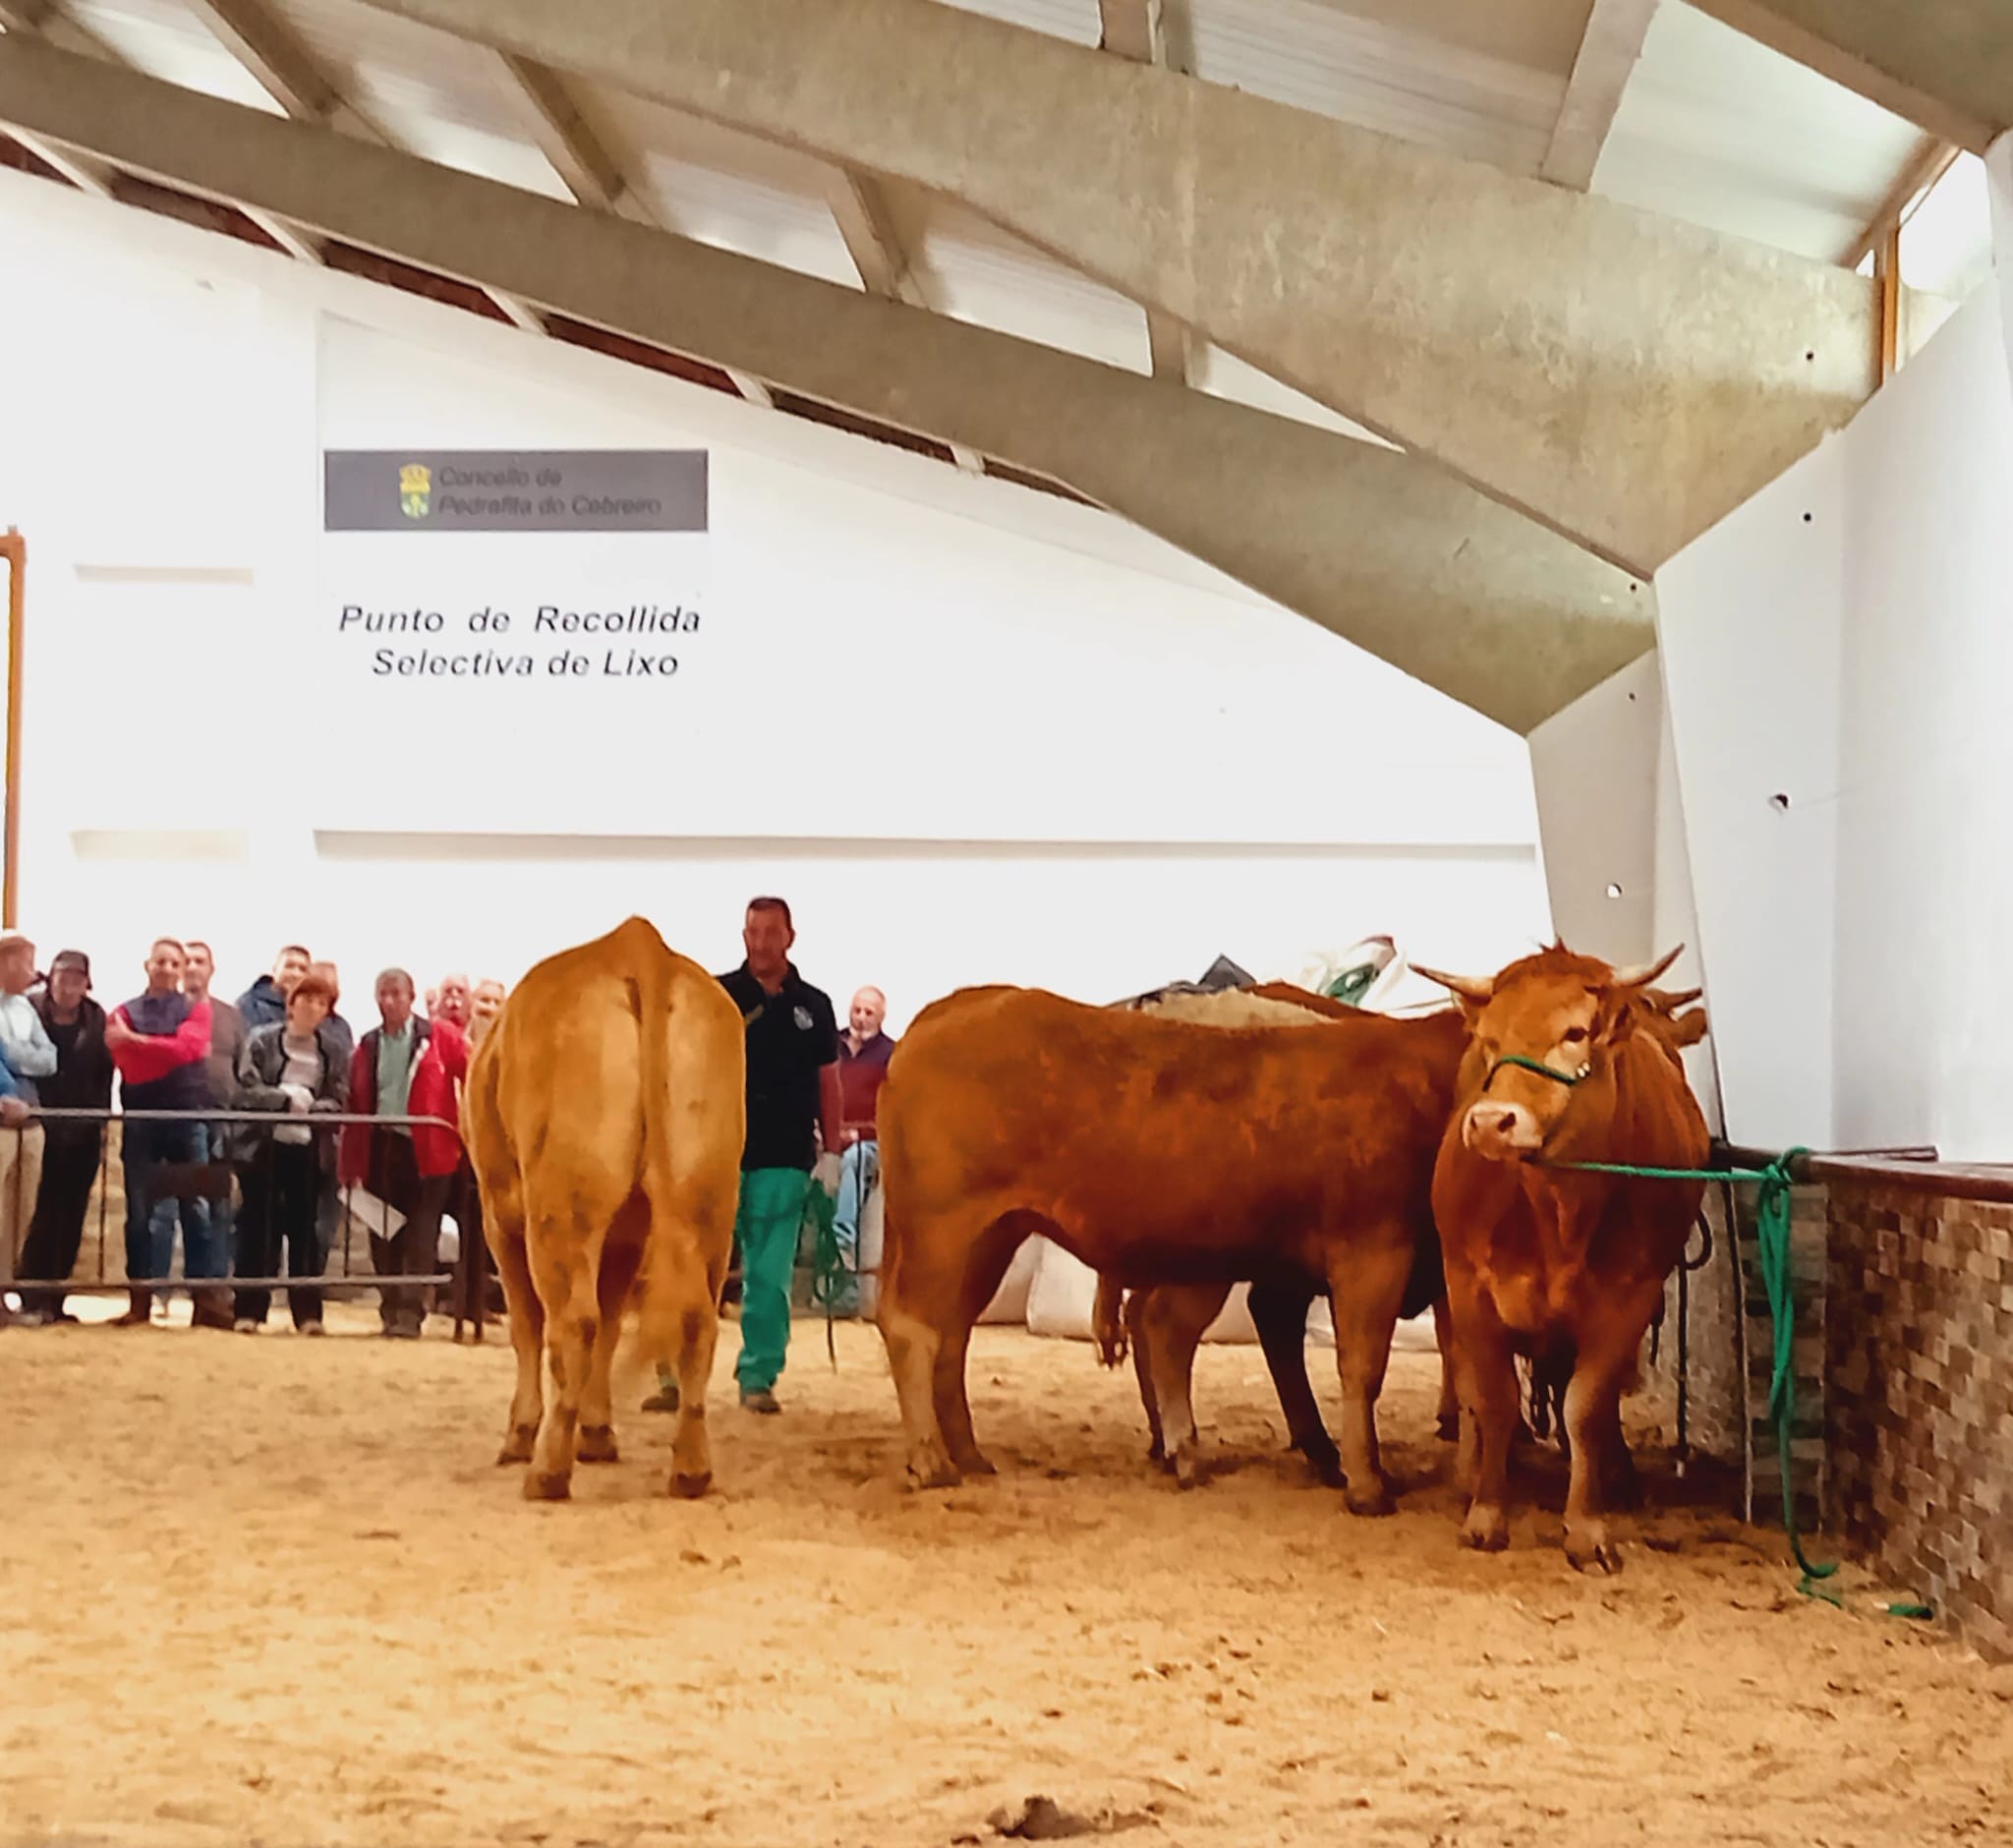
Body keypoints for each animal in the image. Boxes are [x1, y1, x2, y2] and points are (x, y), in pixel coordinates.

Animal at [463, 917, 746, 1502]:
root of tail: (635, 943)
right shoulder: (626, 1235)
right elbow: (615, 1322)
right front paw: (597, 1433)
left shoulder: (498, 1217)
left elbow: (527, 1325)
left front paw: (521, 1434)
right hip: (709, 1202)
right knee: (695, 1323)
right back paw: (691, 1469)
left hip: (560, 1208)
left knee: (571, 1323)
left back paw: (546, 1471)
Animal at [873, 985, 1468, 1509]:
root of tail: (959, 1006)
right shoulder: (1373, 1252)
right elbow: (1364, 1368)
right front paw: (1368, 1484)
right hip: (941, 1231)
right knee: (913, 1331)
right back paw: (931, 1461)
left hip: (992, 1237)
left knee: (953, 1336)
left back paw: (971, 1455)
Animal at [1418, 944, 1710, 1572]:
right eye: (1491, 1039)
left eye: (1575, 1032)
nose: (1491, 1122)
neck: (1558, 1210)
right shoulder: (1468, 1286)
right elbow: (1495, 1400)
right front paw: (1486, 1510)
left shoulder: (1631, 1298)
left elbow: (1587, 1409)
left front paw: (1587, 1525)